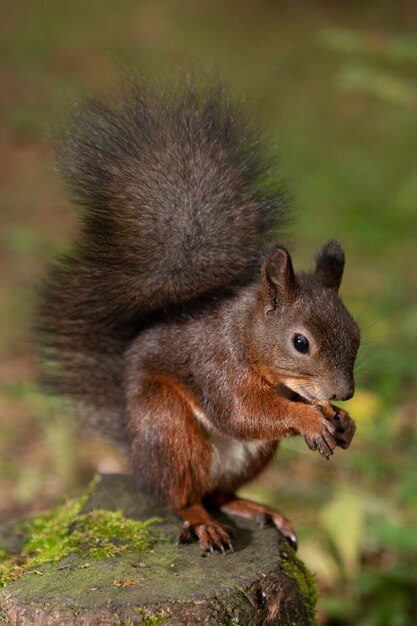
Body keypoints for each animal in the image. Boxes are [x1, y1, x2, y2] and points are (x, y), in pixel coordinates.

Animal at [35, 75, 360, 548]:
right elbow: (243, 412)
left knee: (221, 493)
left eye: (356, 333)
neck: (245, 335)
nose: (344, 394)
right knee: (182, 497)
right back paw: (204, 522)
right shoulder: (216, 366)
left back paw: (259, 509)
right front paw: (308, 419)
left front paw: (344, 422)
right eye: (300, 342)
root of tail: (135, 451)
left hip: (250, 455)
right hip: (169, 429)